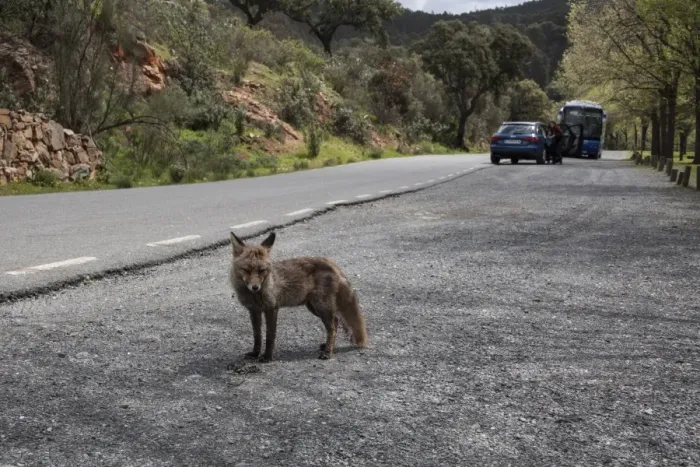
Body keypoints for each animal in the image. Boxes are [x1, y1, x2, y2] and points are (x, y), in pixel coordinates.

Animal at [228, 231, 368, 362]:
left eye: (261, 270)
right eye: (246, 270)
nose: (255, 287)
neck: (255, 296)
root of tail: (331, 264)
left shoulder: (272, 308)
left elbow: (270, 335)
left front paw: (267, 356)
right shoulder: (254, 311)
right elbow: (257, 335)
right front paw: (255, 353)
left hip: (321, 306)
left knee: (332, 328)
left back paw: (328, 352)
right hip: (314, 307)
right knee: (336, 320)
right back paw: (327, 346)